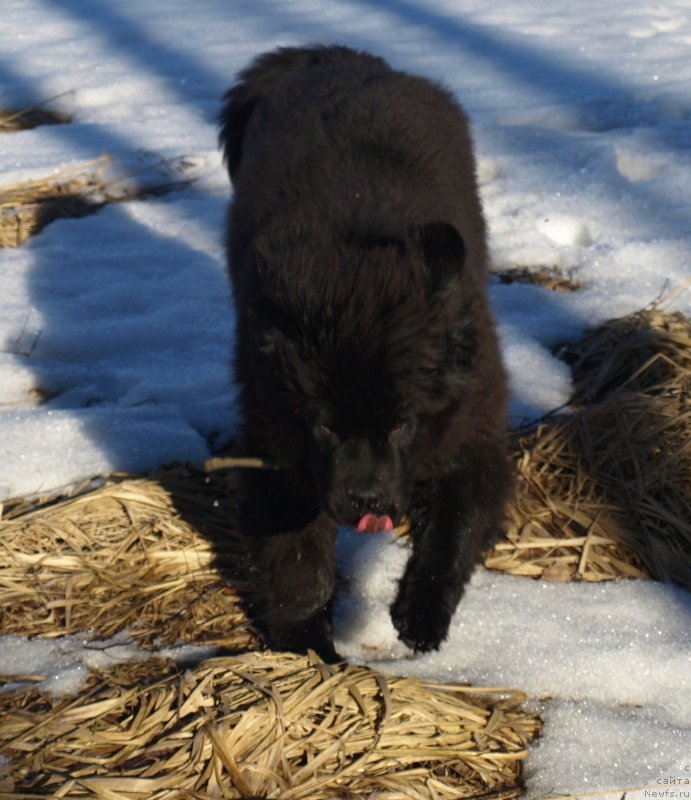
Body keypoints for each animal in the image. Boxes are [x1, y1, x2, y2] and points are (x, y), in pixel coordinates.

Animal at [220, 43, 512, 660]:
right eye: (325, 427)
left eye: (401, 423)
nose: (365, 500)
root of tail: (344, 60)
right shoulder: (275, 448)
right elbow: (298, 565)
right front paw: (309, 648)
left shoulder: (472, 434)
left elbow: (454, 528)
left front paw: (421, 615)